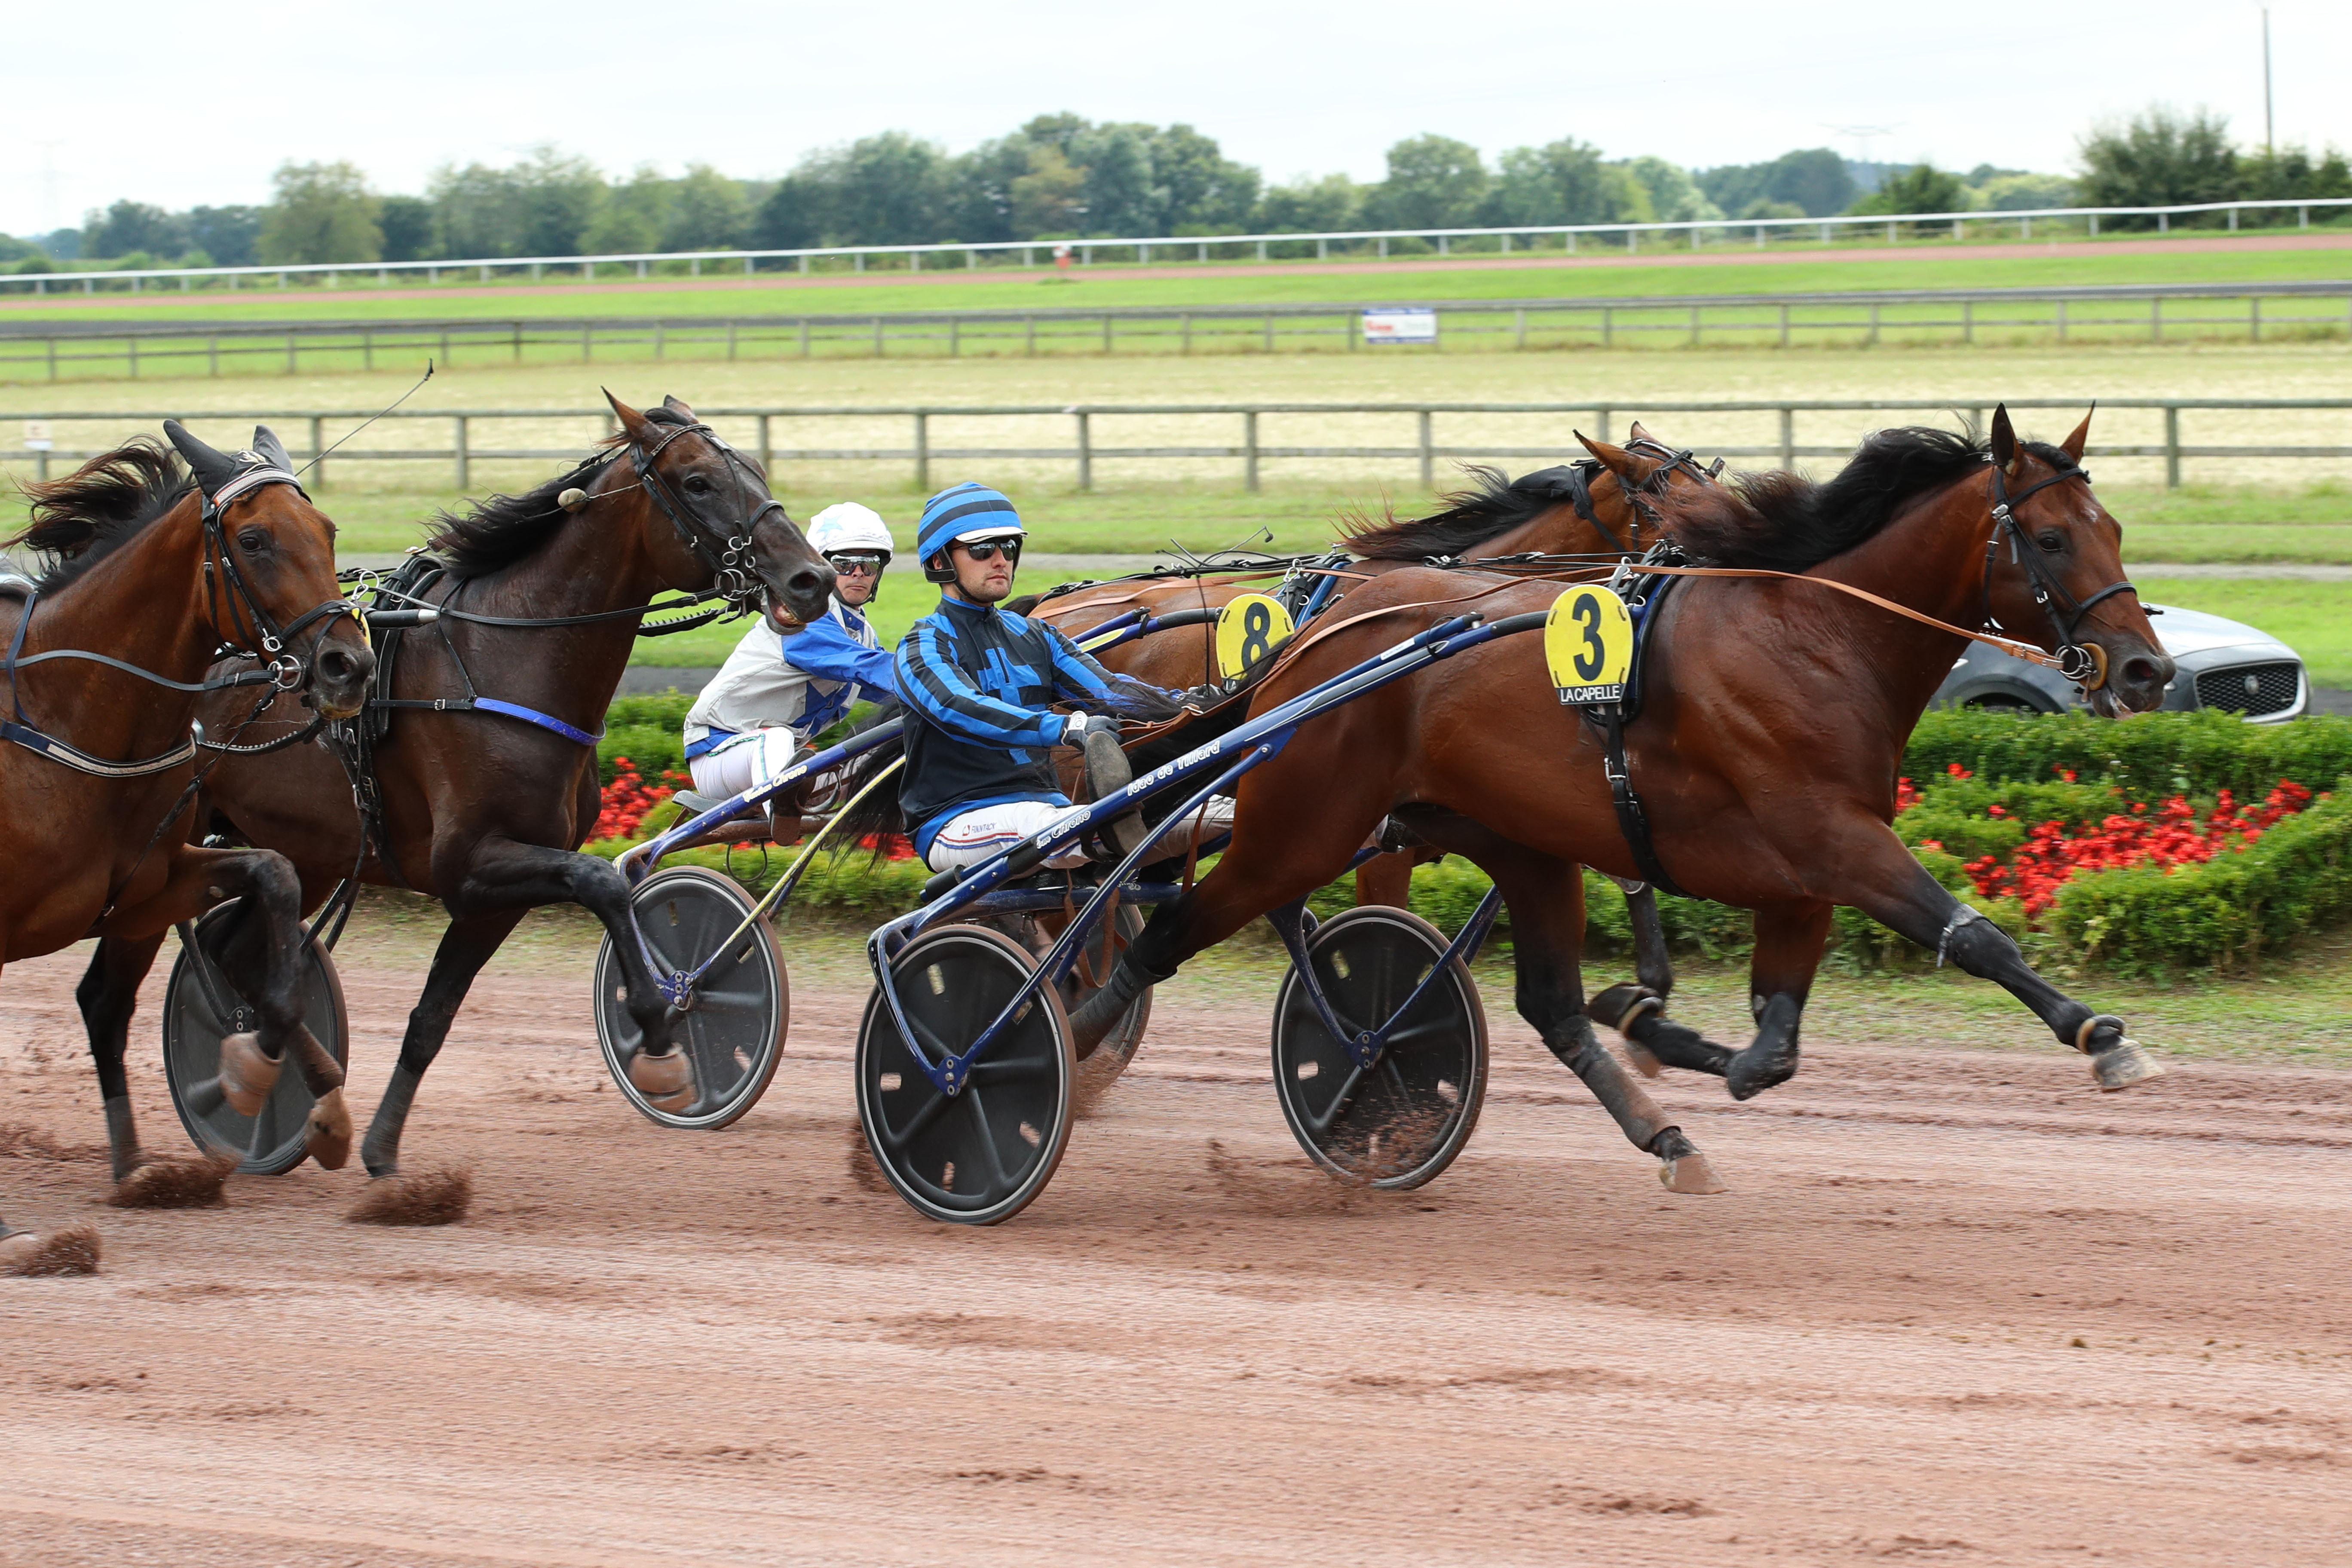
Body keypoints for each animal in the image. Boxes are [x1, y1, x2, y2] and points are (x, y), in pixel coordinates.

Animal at [78, 395, 837, 1204]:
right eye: (698, 481)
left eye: (753, 468)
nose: (810, 579)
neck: (507, 660)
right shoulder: (470, 864)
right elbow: (603, 881)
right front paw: (661, 1037)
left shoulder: (492, 895)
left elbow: (431, 1018)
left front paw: (383, 1153)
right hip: (158, 858)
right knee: (113, 991)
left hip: (304, 851)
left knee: (230, 948)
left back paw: (305, 1096)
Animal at [1077, 404, 2173, 1189]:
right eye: (2046, 537)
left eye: (2115, 527)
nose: (2143, 671)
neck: (1811, 638)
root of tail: (1305, 653)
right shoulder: (1832, 838)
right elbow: (1972, 935)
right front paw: (2103, 1039)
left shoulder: (1800, 875)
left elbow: (1772, 1042)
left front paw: (1655, 1025)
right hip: (1301, 829)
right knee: (1164, 928)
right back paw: (1068, 1049)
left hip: (1512, 842)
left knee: (1551, 1007)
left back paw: (1661, 1134)